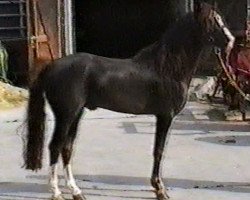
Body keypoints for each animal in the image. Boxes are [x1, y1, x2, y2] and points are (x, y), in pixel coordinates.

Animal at [23, 1, 234, 200]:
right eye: (212, 21)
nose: (230, 42)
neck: (167, 68)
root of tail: (51, 67)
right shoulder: (165, 116)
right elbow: (159, 151)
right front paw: (160, 189)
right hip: (66, 115)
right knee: (55, 147)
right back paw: (56, 193)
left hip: (76, 114)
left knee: (66, 148)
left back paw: (76, 192)